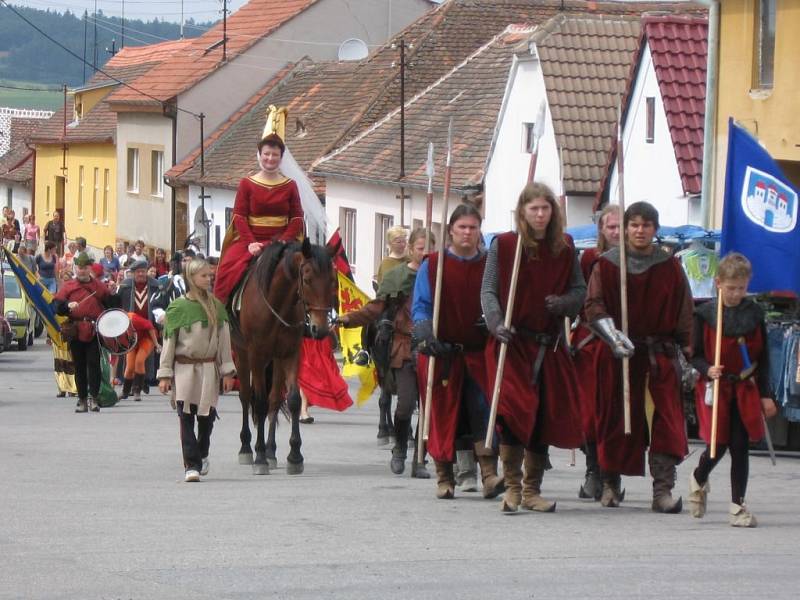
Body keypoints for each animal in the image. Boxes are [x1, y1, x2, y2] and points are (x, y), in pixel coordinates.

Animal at [233, 237, 332, 476]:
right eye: (307, 279)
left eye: (333, 281)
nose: (320, 330)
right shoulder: (256, 355)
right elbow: (258, 402)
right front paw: (259, 456)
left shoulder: (290, 353)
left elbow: (293, 399)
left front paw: (294, 456)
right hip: (241, 354)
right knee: (245, 396)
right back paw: (247, 448)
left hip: (276, 360)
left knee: (275, 399)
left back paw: (271, 452)